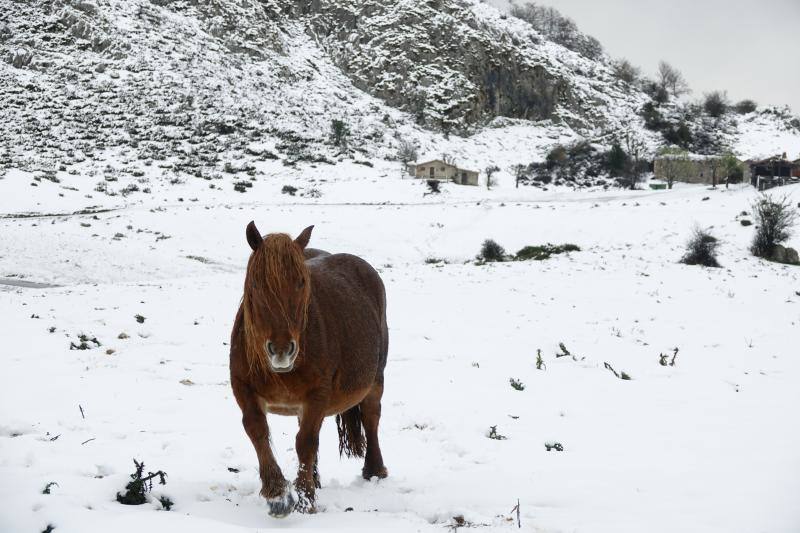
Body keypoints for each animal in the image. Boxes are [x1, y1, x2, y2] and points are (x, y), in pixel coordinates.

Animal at [228, 221, 390, 516]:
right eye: (256, 282)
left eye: (302, 282)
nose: (282, 349)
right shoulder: (242, 388)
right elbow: (257, 430)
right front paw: (278, 493)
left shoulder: (318, 393)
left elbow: (305, 441)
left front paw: (304, 499)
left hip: (376, 379)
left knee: (371, 417)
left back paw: (374, 470)